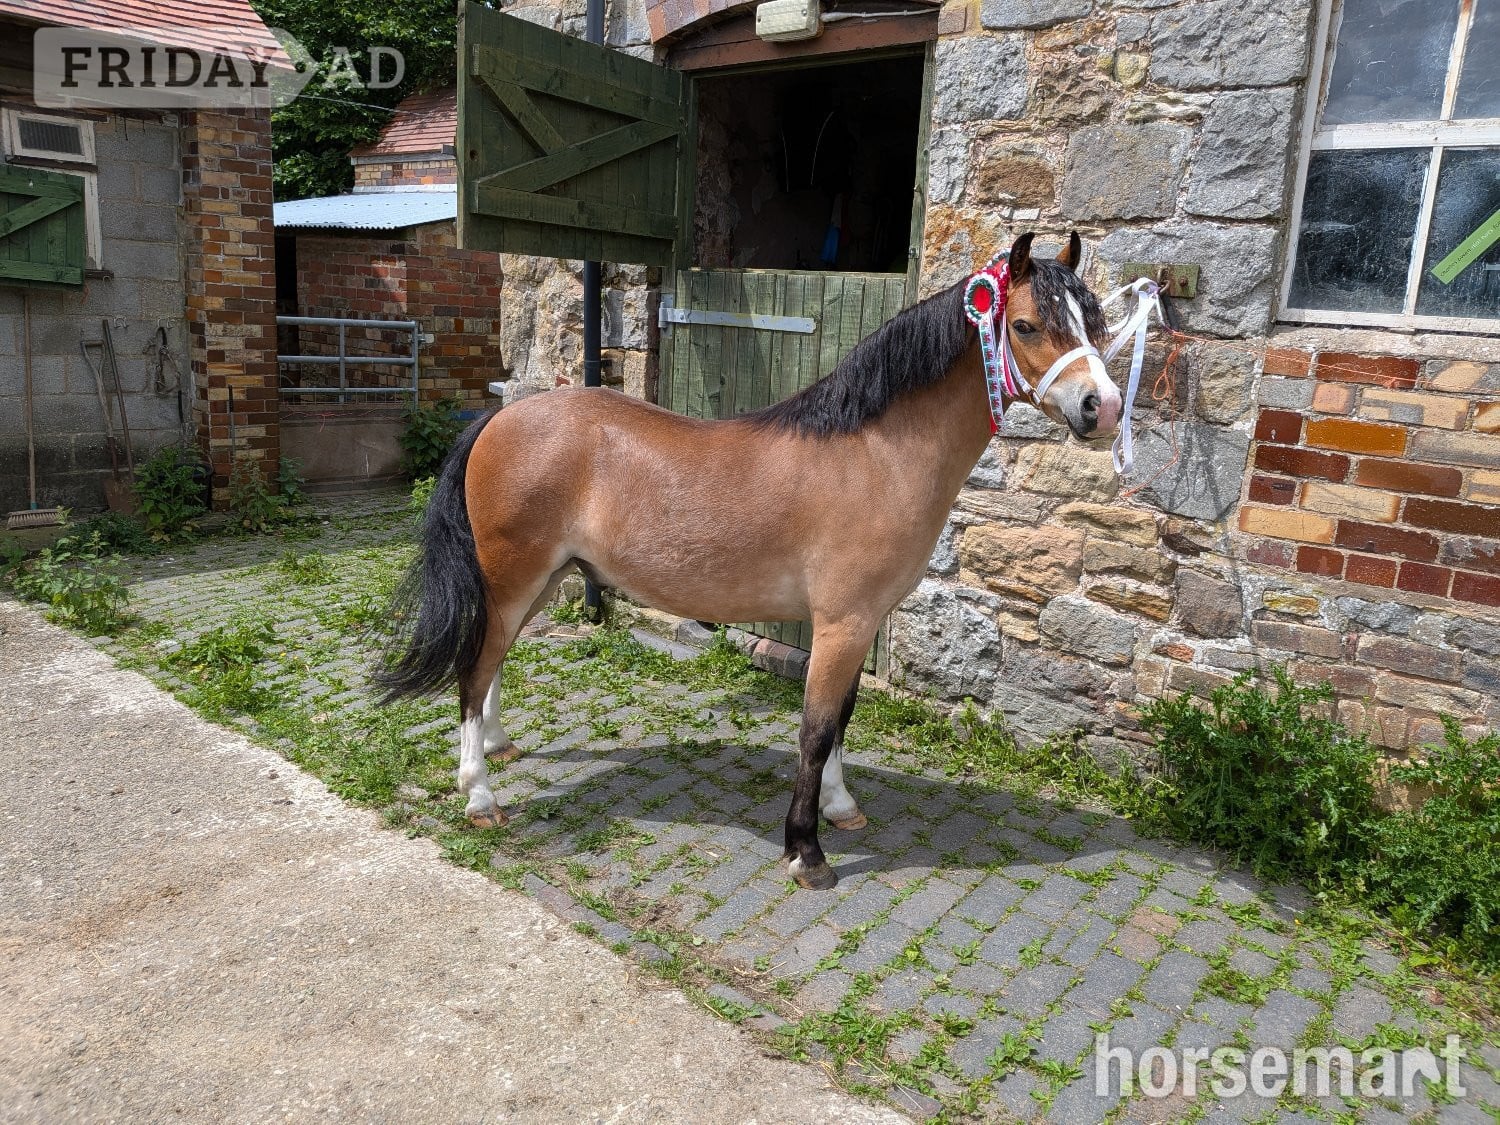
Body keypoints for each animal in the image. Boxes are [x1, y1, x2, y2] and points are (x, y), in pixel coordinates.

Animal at [376, 232, 1123, 890]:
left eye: (1096, 322)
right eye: (1025, 325)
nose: (1104, 406)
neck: (874, 454)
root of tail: (500, 419)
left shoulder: (856, 624)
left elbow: (841, 719)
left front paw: (841, 808)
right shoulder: (842, 623)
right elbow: (815, 730)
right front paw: (806, 852)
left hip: (539, 580)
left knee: (494, 664)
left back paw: (499, 746)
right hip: (511, 578)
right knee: (473, 671)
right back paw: (479, 795)